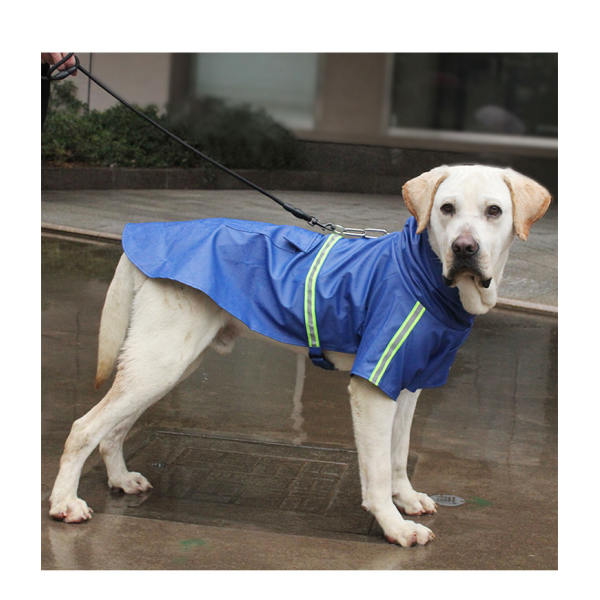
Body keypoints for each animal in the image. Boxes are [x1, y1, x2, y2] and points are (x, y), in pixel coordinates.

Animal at [49, 164, 551, 547]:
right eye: (446, 209)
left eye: (494, 211)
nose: (465, 249)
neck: (424, 272)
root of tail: (147, 235)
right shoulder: (372, 389)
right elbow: (375, 471)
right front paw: (394, 526)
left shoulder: (408, 384)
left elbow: (398, 454)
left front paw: (407, 500)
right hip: (161, 361)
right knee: (84, 428)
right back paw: (65, 504)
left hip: (169, 364)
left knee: (113, 430)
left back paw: (120, 479)